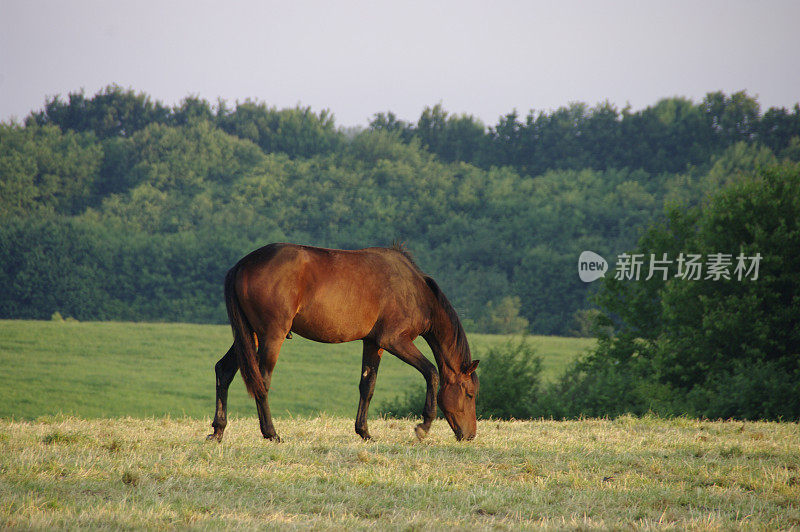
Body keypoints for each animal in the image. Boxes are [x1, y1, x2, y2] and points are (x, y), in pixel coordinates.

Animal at [208, 243, 482, 442]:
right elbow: (431, 372)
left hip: (249, 334)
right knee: (262, 380)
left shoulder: (373, 343)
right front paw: (424, 425)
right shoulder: (395, 341)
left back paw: (218, 430)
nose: (470, 435)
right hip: (271, 335)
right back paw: (271, 433)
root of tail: (242, 265)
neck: (414, 290)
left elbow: (367, 386)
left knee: (224, 370)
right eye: (469, 394)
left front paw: (364, 432)